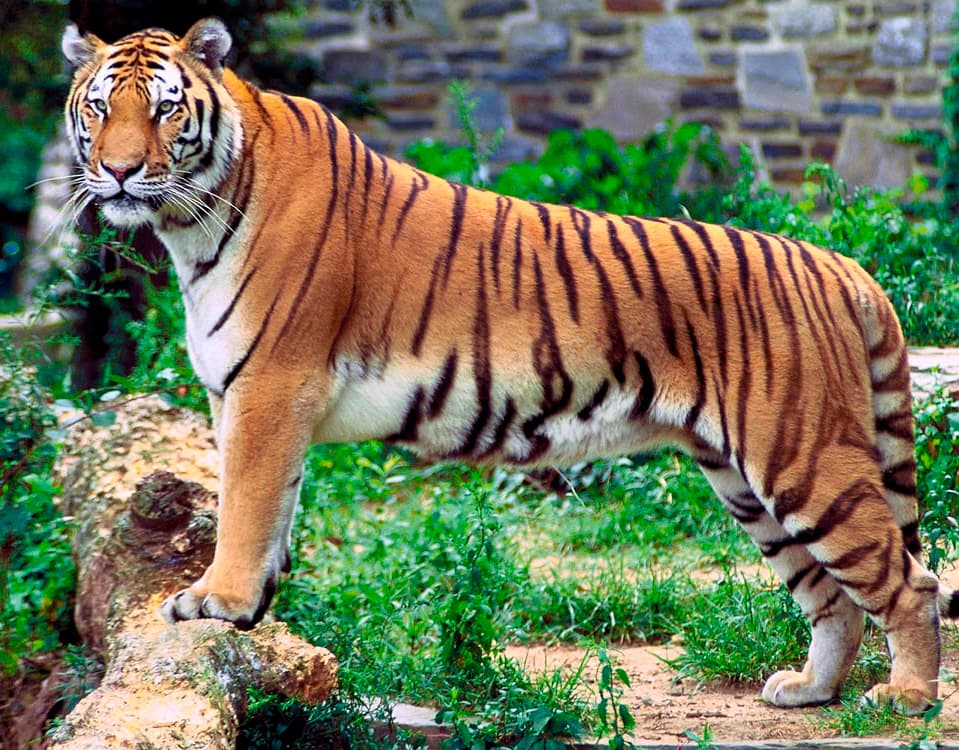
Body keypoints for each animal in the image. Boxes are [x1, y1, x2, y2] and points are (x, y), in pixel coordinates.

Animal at [62, 17, 957, 714]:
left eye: (165, 108)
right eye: (100, 107)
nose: (119, 170)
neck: (194, 223)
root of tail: (839, 264)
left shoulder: (270, 387)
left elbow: (245, 506)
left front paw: (217, 601)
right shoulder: (246, 397)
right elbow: (270, 507)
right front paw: (254, 611)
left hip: (803, 459)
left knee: (908, 582)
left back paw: (904, 698)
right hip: (745, 482)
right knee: (831, 596)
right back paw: (809, 690)